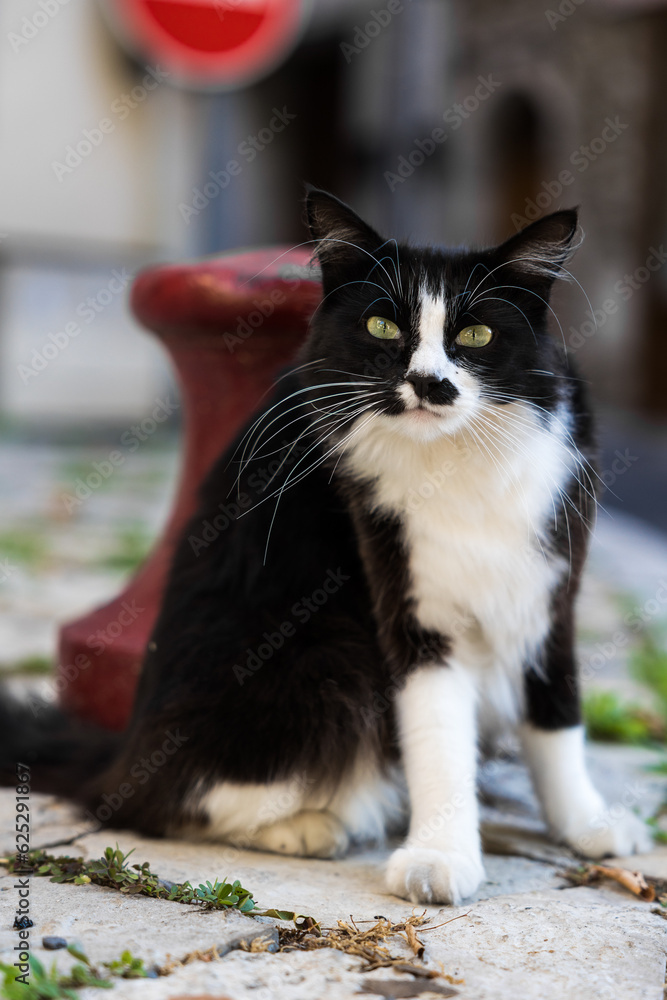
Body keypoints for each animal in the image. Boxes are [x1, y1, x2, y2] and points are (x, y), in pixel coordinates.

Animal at [0, 189, 648, 908]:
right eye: (383, 328)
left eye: (475, 335)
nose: (429, 383)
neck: (454, 461)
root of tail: (117, 753)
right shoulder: (410, 610)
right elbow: (437, 737)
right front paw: (440, 855)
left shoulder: (547, 589)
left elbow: (557, 717)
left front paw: (585, 824)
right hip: (324, 658)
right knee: (156, 803)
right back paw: (312, 826)